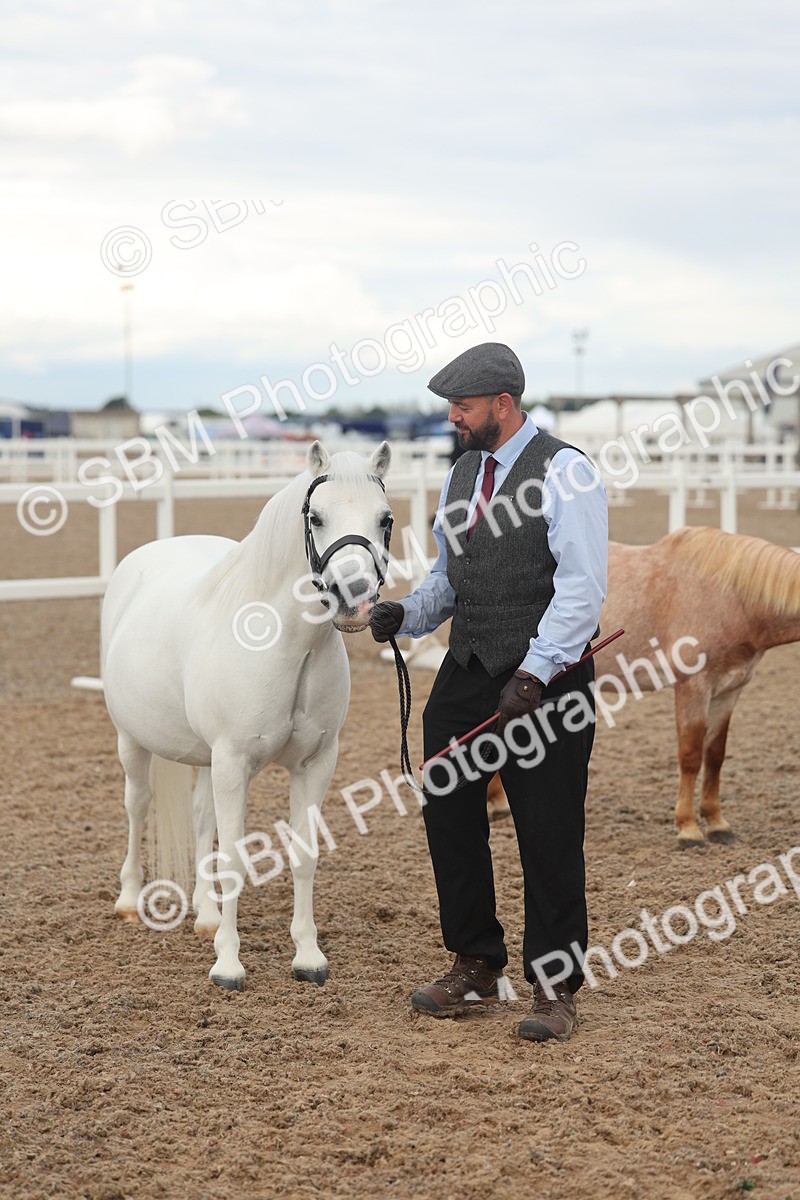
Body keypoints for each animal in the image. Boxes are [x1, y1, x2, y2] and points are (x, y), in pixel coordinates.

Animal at [101, 440, 393, 989]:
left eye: (384, 519)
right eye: (316, 517)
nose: (355, 599)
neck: (288, 646)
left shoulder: (315, 764)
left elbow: (304, 854)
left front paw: (308, 956)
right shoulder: (234, 763)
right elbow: (235, 858)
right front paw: (228, 965)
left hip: (203, 758)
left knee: (199, 817)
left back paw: (205, 913)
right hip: (132, 739)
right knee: (135, 804)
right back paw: (129, 901)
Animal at [487, 527, 800, 846]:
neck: (732, 598)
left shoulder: (728, 691)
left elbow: (715, 755)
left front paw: (717, 824)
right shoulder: (693, 688)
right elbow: (690, 755)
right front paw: (688, 828)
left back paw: (498, 804)